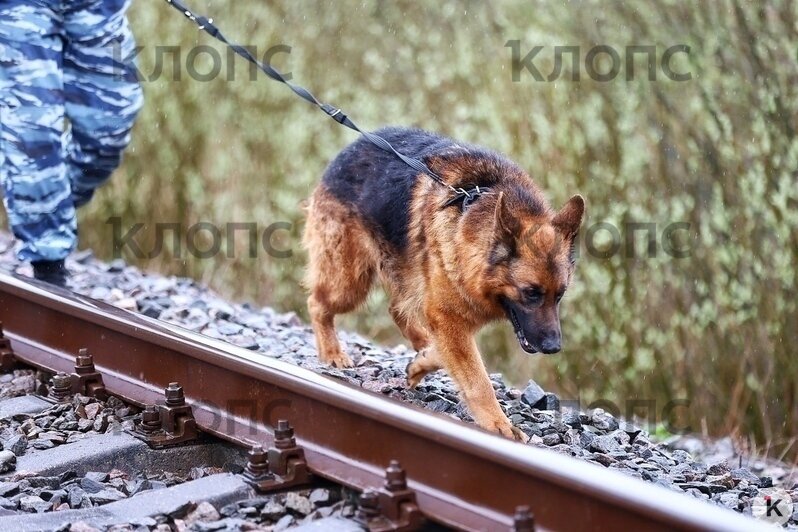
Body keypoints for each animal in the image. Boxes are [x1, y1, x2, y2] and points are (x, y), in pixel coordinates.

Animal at [304, 127, 584, 438]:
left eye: (559, 295)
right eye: (531, 293)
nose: (553, 347)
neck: (471, 212)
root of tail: (355, 145)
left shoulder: (447, 319)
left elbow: (445, 353)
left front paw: (421, 361)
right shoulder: (447, 316)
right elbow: (477, 380)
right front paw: (498, 424)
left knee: (397, 309)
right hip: (350, 281)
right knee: (317, 303)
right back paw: (332, 352)